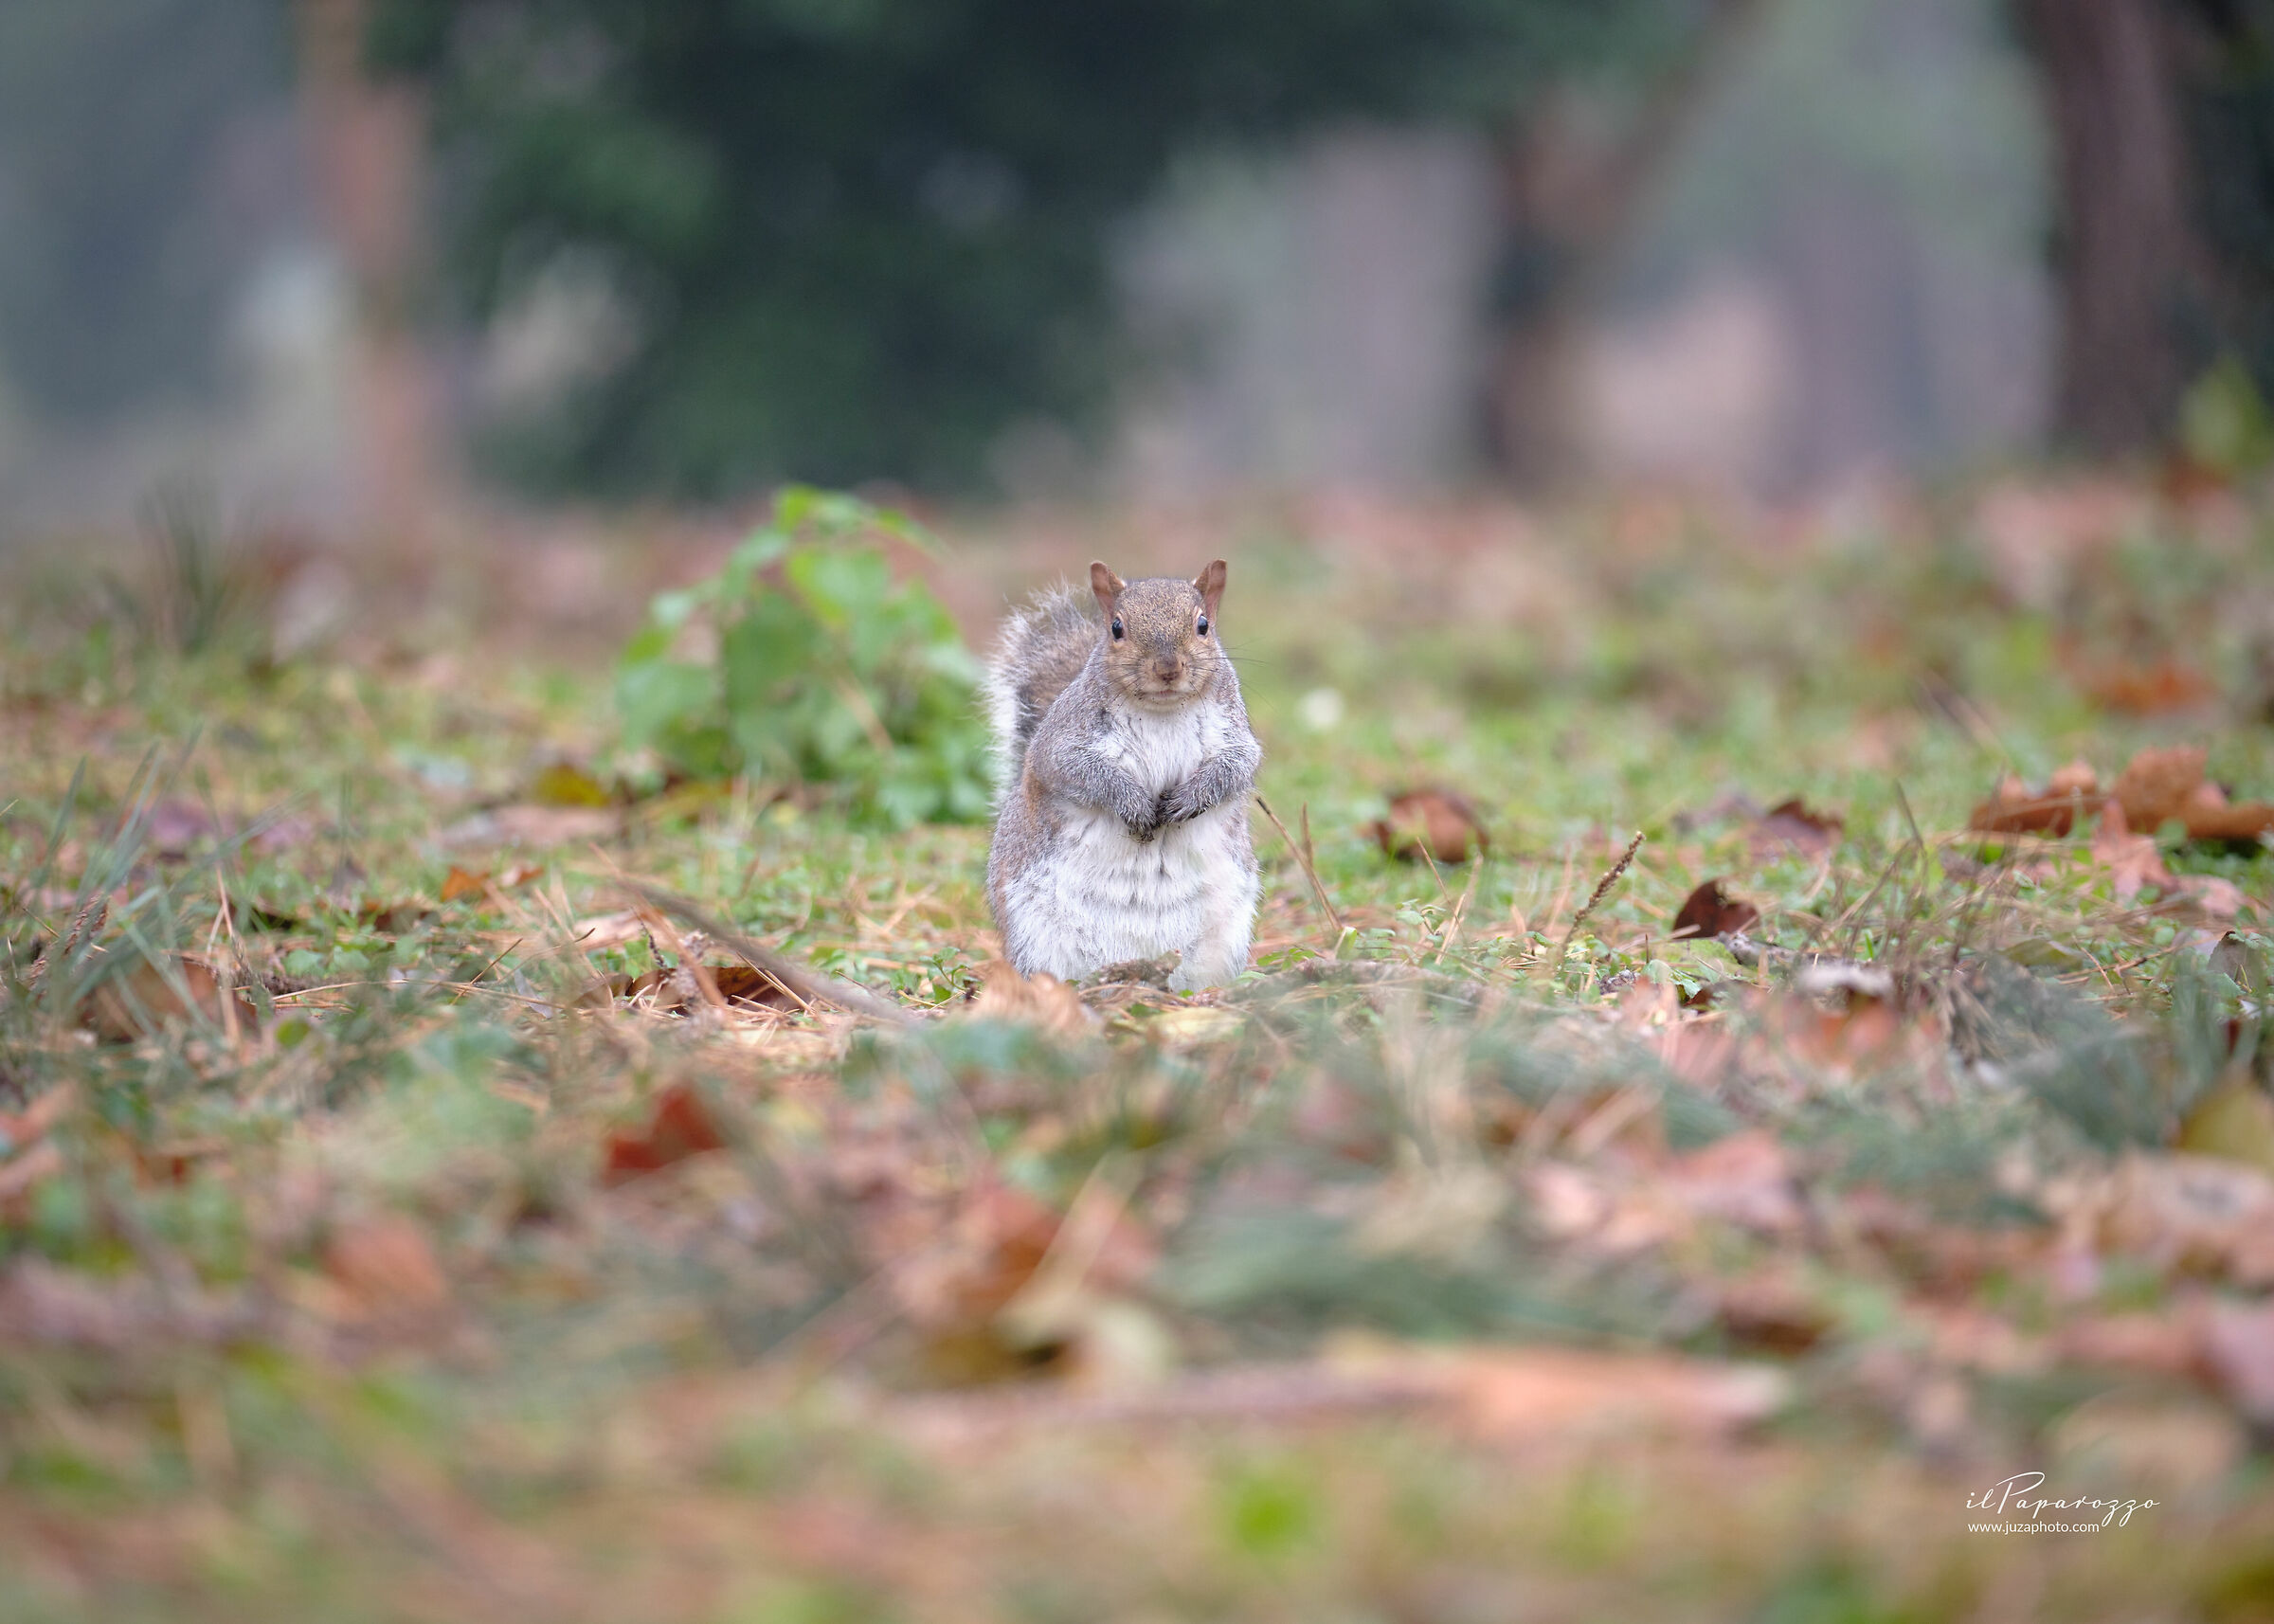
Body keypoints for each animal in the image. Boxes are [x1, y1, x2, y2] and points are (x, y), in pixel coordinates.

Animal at [984, 560, 1263, 992]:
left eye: (1203, 625)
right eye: (1117, 628)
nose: (1168, 668)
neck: (1162, 711)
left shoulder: (1235, 733)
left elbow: (1236, 767)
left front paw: (1189, 799)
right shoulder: (1062, 740)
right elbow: (1077, 769)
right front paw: (1132, 803)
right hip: (1036, 937)